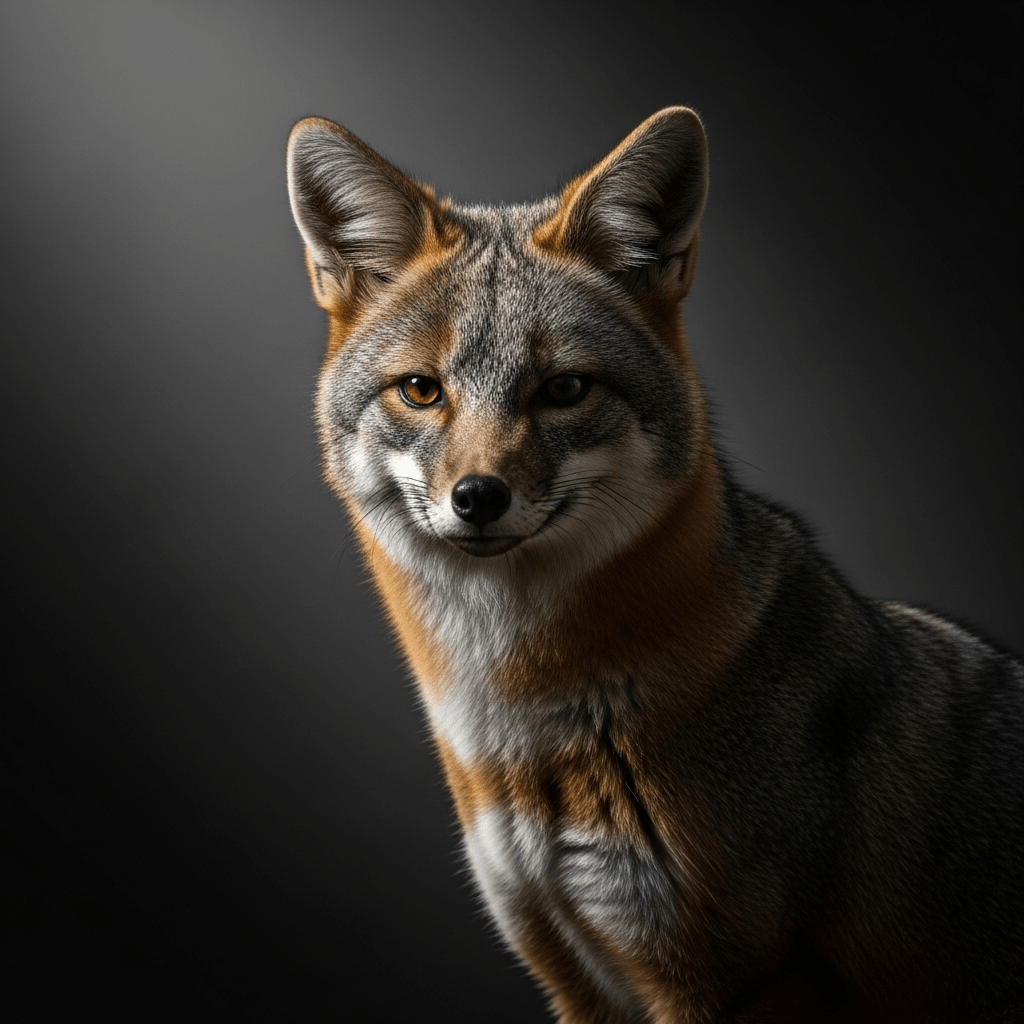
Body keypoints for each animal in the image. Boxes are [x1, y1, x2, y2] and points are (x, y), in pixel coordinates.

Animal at [285, 107, 1023, 1023]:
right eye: (421, 391)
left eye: (565, 389)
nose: (478, 496)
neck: (519, 732)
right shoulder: (573, 974)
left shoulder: (740, 980)